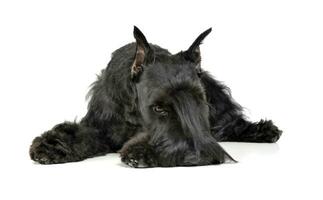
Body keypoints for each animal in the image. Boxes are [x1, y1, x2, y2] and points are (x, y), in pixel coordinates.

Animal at [30, 26, 284, 167]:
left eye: (199, 101)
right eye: (159, 108)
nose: (196, 156)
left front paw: (141, 153)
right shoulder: (99, 124)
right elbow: (78, 133)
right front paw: (51, 146)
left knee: (229, 123)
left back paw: (263, 131)